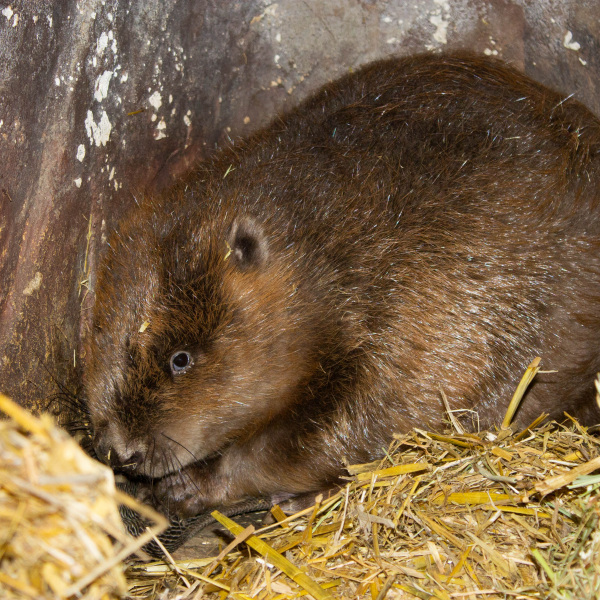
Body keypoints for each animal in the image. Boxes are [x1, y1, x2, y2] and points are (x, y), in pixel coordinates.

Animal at [83, 54, 600, 516]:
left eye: (181, 358)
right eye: (104, 337)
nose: (122, 451)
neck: (323, 246)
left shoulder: (413, 318)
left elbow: (334, 436)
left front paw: (189, 487)